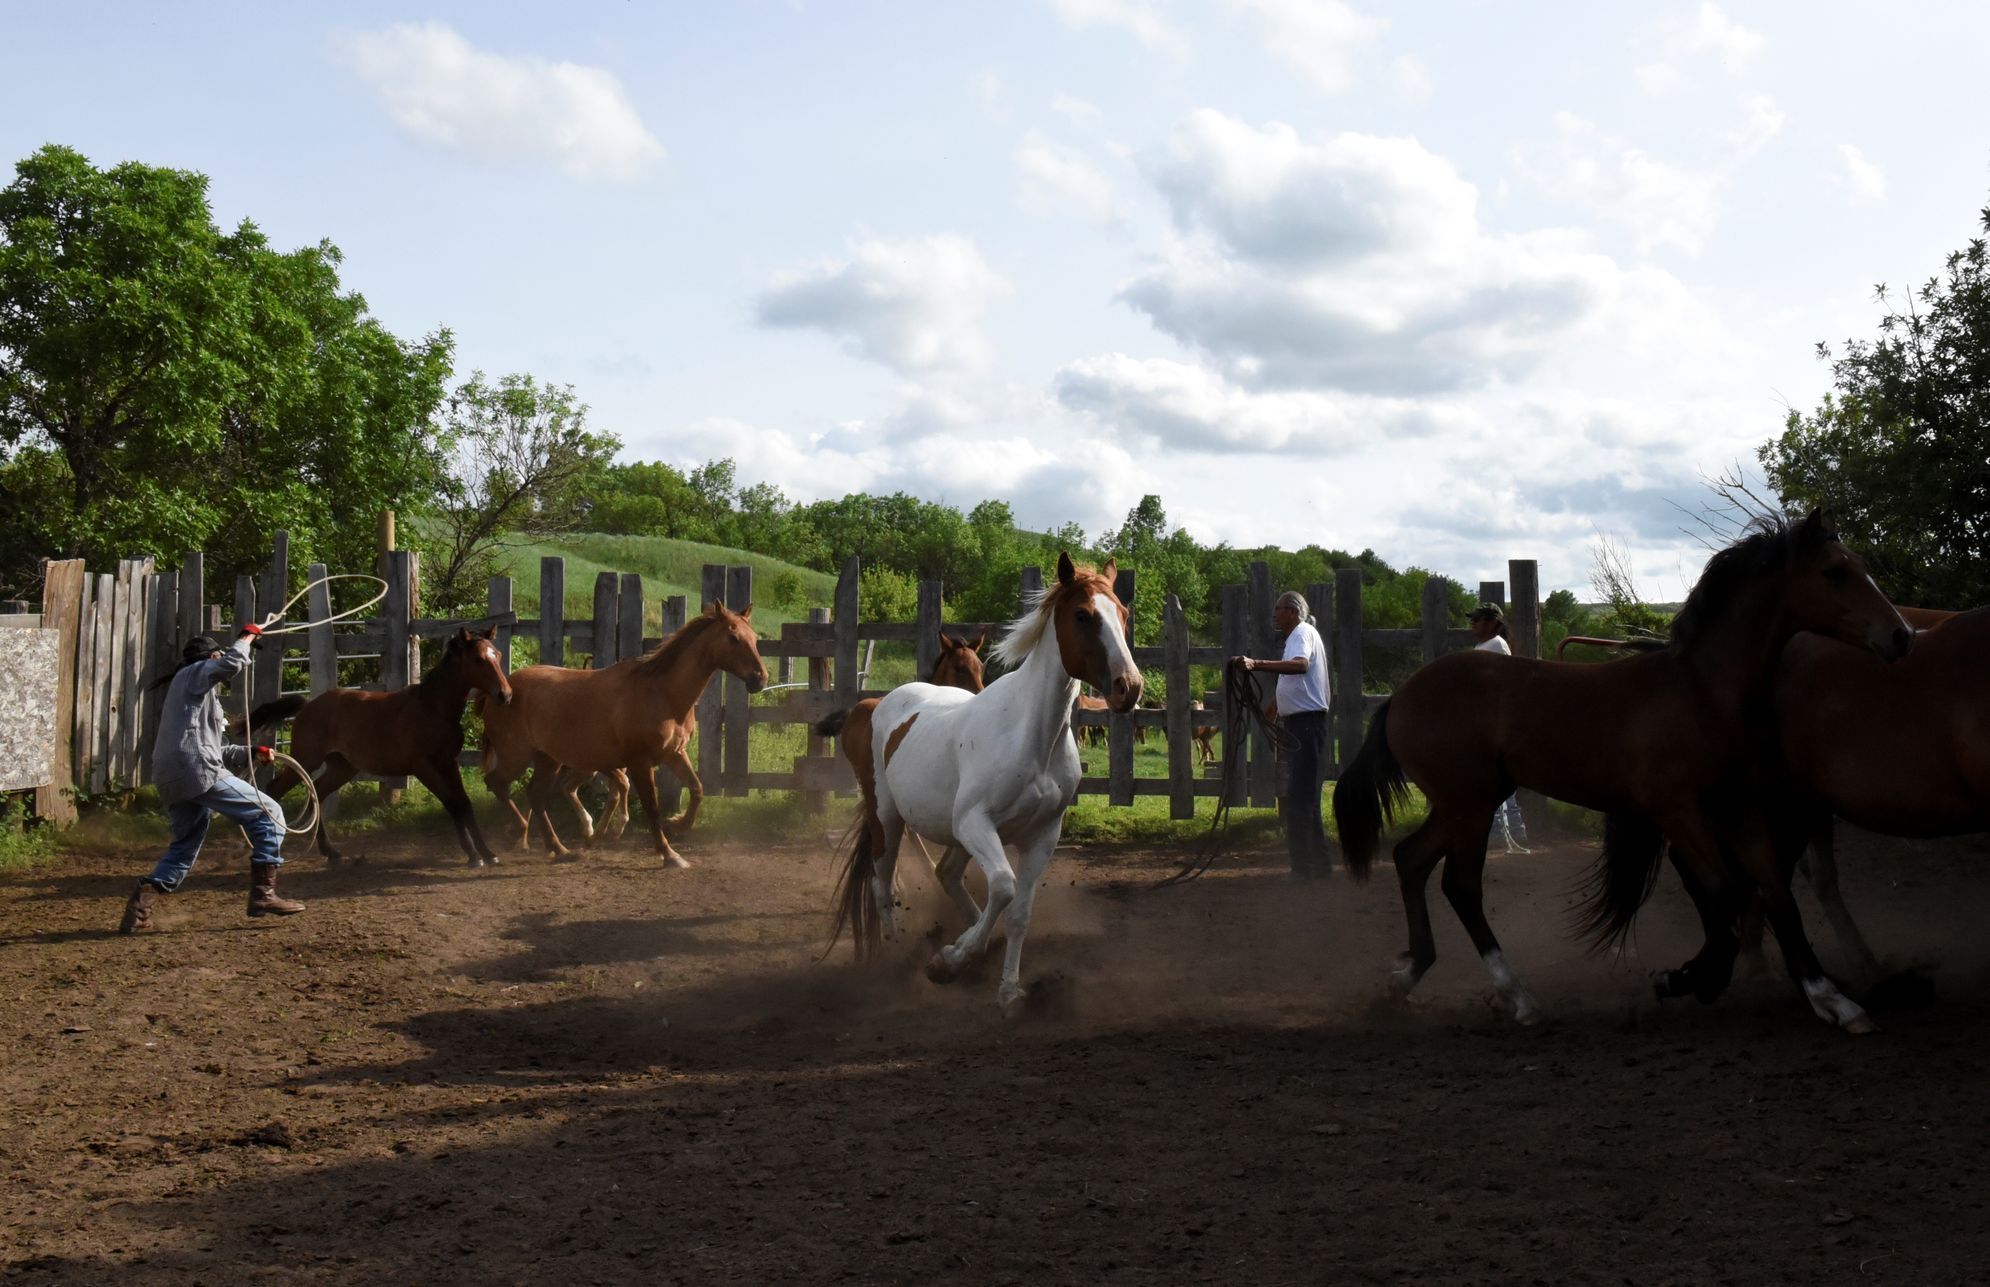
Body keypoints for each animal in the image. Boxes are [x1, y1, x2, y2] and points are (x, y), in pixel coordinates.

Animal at [254, 628, 513, 871]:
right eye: (478, 659)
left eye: (498, 655)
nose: (505, 694)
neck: (433, 708)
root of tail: (308, 705)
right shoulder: (424, 767)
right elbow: (453, 804)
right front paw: (473, 856)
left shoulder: (448, 763)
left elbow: (464, 803)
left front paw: (487, 853)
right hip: (306, 759)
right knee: (275, 788)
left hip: (342, 768)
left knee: (317, 791)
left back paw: (332, 852)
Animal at [477, 600, 764, 867]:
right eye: (733, 638)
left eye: (754, 638)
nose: (760, 678)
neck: (662, 694)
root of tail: (502, 690)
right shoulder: (640, 763)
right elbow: (651, 807)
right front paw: (669, 854)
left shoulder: (674, 754)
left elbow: (697, 789)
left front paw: (677, 824)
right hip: (516, 755)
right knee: (496, 782)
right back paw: (519, 832)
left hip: (549, 759)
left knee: (535, 795)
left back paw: (559, 849)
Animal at [819, 552, 1138, 1018]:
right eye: (1083, 615)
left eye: (1123, 614)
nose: (1128, 688)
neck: (1032, 737)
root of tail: (876, 704)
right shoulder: (975, 823)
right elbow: (1003, 887)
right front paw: (948, 961)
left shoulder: (1042, 835)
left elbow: (1019, 910)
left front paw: (1008, 990)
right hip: (889, 818)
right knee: (883, 885)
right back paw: (896, 959)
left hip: (952, 832)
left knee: (946, 873)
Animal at [1329, 509, 1902, 1034]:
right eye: (1834, 572)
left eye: (1860, 565)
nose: (1900, 635)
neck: (1701, 691)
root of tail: (1401, 696)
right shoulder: (1676, 809)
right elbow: (1725, 890)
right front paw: (1687, 978)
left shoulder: (1739, 808)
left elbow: (1776, 896)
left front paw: (1834, 1000)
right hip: (1469, 804)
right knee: (1461, 886)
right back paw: (1519, 998)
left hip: (1465, 802)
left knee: (1411, 861)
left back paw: (1405, 980)